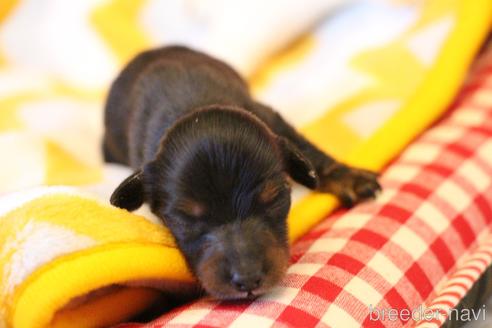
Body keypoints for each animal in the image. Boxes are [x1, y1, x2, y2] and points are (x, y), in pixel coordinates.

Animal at [103, 46, 380, 300]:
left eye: (274, 198)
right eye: (185, 219)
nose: (248, 280)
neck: (194, 107)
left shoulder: (270, 117)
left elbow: (303, 146)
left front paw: (347, 177)